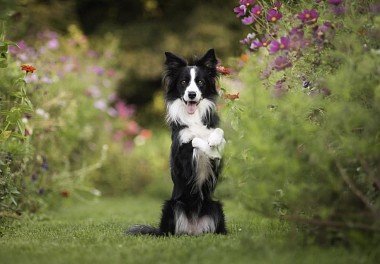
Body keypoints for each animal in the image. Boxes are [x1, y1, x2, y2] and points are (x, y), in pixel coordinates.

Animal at [127, 49, 226, 235]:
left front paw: (214, 141)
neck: (193, 117)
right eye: (183, 82)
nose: (192, 94)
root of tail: (194, 230)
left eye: (200, 82)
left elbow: (219, 135)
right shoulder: (183, 160)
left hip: (215, 205)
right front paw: (209, 147)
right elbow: (194, 139)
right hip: (172, 206)